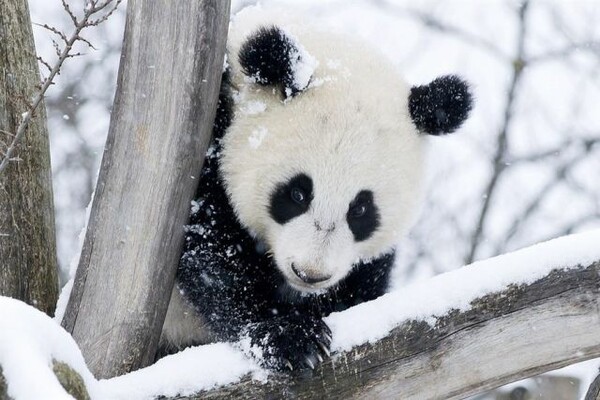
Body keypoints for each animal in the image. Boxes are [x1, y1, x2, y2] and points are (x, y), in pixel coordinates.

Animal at [159, 7, 474, 372]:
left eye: (361, 209)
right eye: (297, 194)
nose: (310, 274)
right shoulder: (209, 138)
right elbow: (211, 246)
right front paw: (291, 336)